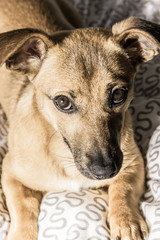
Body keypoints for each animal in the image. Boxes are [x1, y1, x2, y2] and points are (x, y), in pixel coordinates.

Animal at [0, 0, 159, 240]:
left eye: (118, 94)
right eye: (62, 102)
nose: (105, 171)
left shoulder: (132, 163)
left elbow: (123, 190)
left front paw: (126, 222)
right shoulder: (10, 174)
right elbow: (23, 208)